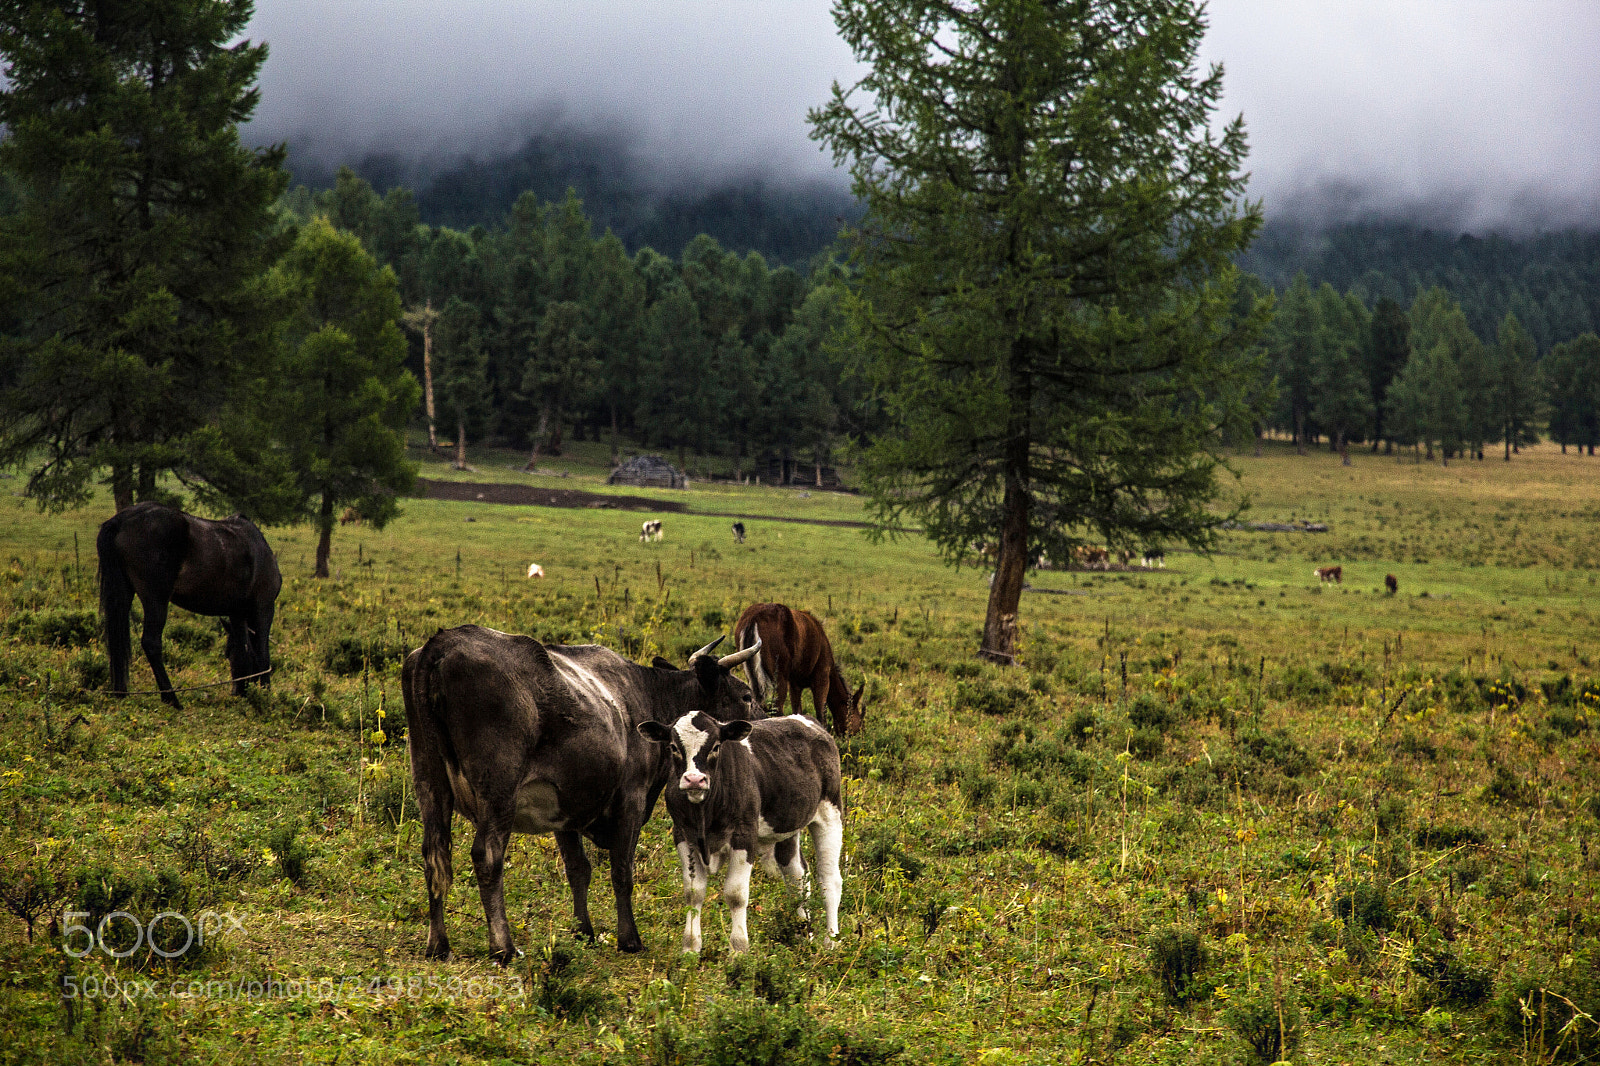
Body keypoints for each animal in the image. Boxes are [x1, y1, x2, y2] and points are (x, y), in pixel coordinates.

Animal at [401, 626, 765, 962]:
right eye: (746, 695)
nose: (763, 721)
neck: (649, 696)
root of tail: (443, 642)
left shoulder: (565, 809)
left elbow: (578, 869)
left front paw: (583, 932)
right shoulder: (631, 798)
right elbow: (621, 870)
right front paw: (629, 939)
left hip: (429, 781)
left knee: (434, 854)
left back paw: (438, 945)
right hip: (497, 790)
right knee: (487, 857)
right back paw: (503, 946)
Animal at [637, 711, 843, 954]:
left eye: (716, 746)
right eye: (673, 747)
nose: (695, 779)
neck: (704, 813)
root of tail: (806, 720)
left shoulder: (744, 835)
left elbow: (735, 894)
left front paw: (739, 949)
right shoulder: (682, 835)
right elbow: (693, 892)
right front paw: (690, 947)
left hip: (830, 812)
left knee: (829, 879)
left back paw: (831, 940)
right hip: (787, 825)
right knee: (797, 876)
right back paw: (803, 935)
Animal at [732, 603, 864, 735]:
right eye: (858, 719)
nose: (859, 734)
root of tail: (753, 619)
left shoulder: (795, 683)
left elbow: (797, 711)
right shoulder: (822, 676)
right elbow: (821, 714)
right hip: (779, 676)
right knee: (777, 708)